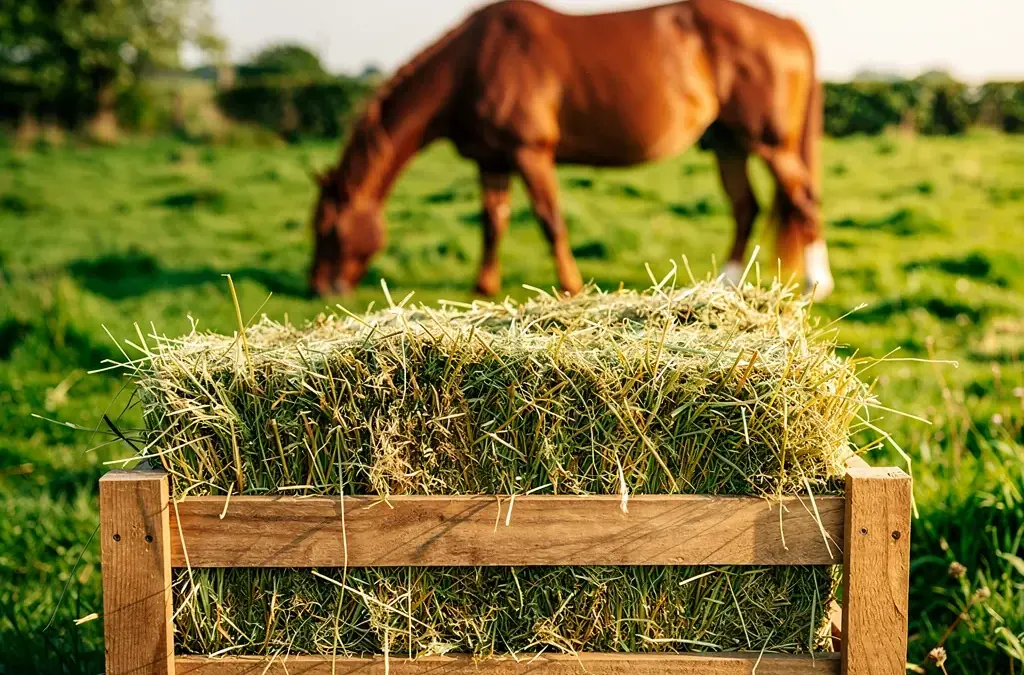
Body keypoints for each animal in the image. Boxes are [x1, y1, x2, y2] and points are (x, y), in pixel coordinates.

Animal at [308, 0, 834, 300]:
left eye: (329, 229)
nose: (319, 287)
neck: (477, 61)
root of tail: (787, 25)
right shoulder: (492, 160)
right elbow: (493, 222)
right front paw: (484, 285)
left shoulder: (531, 154)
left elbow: (550, 220)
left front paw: (571, 285)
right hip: (728, 144)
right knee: (746, 207)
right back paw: (726, 283)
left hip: (771, 145)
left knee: (804, 202)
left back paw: (816, 284)